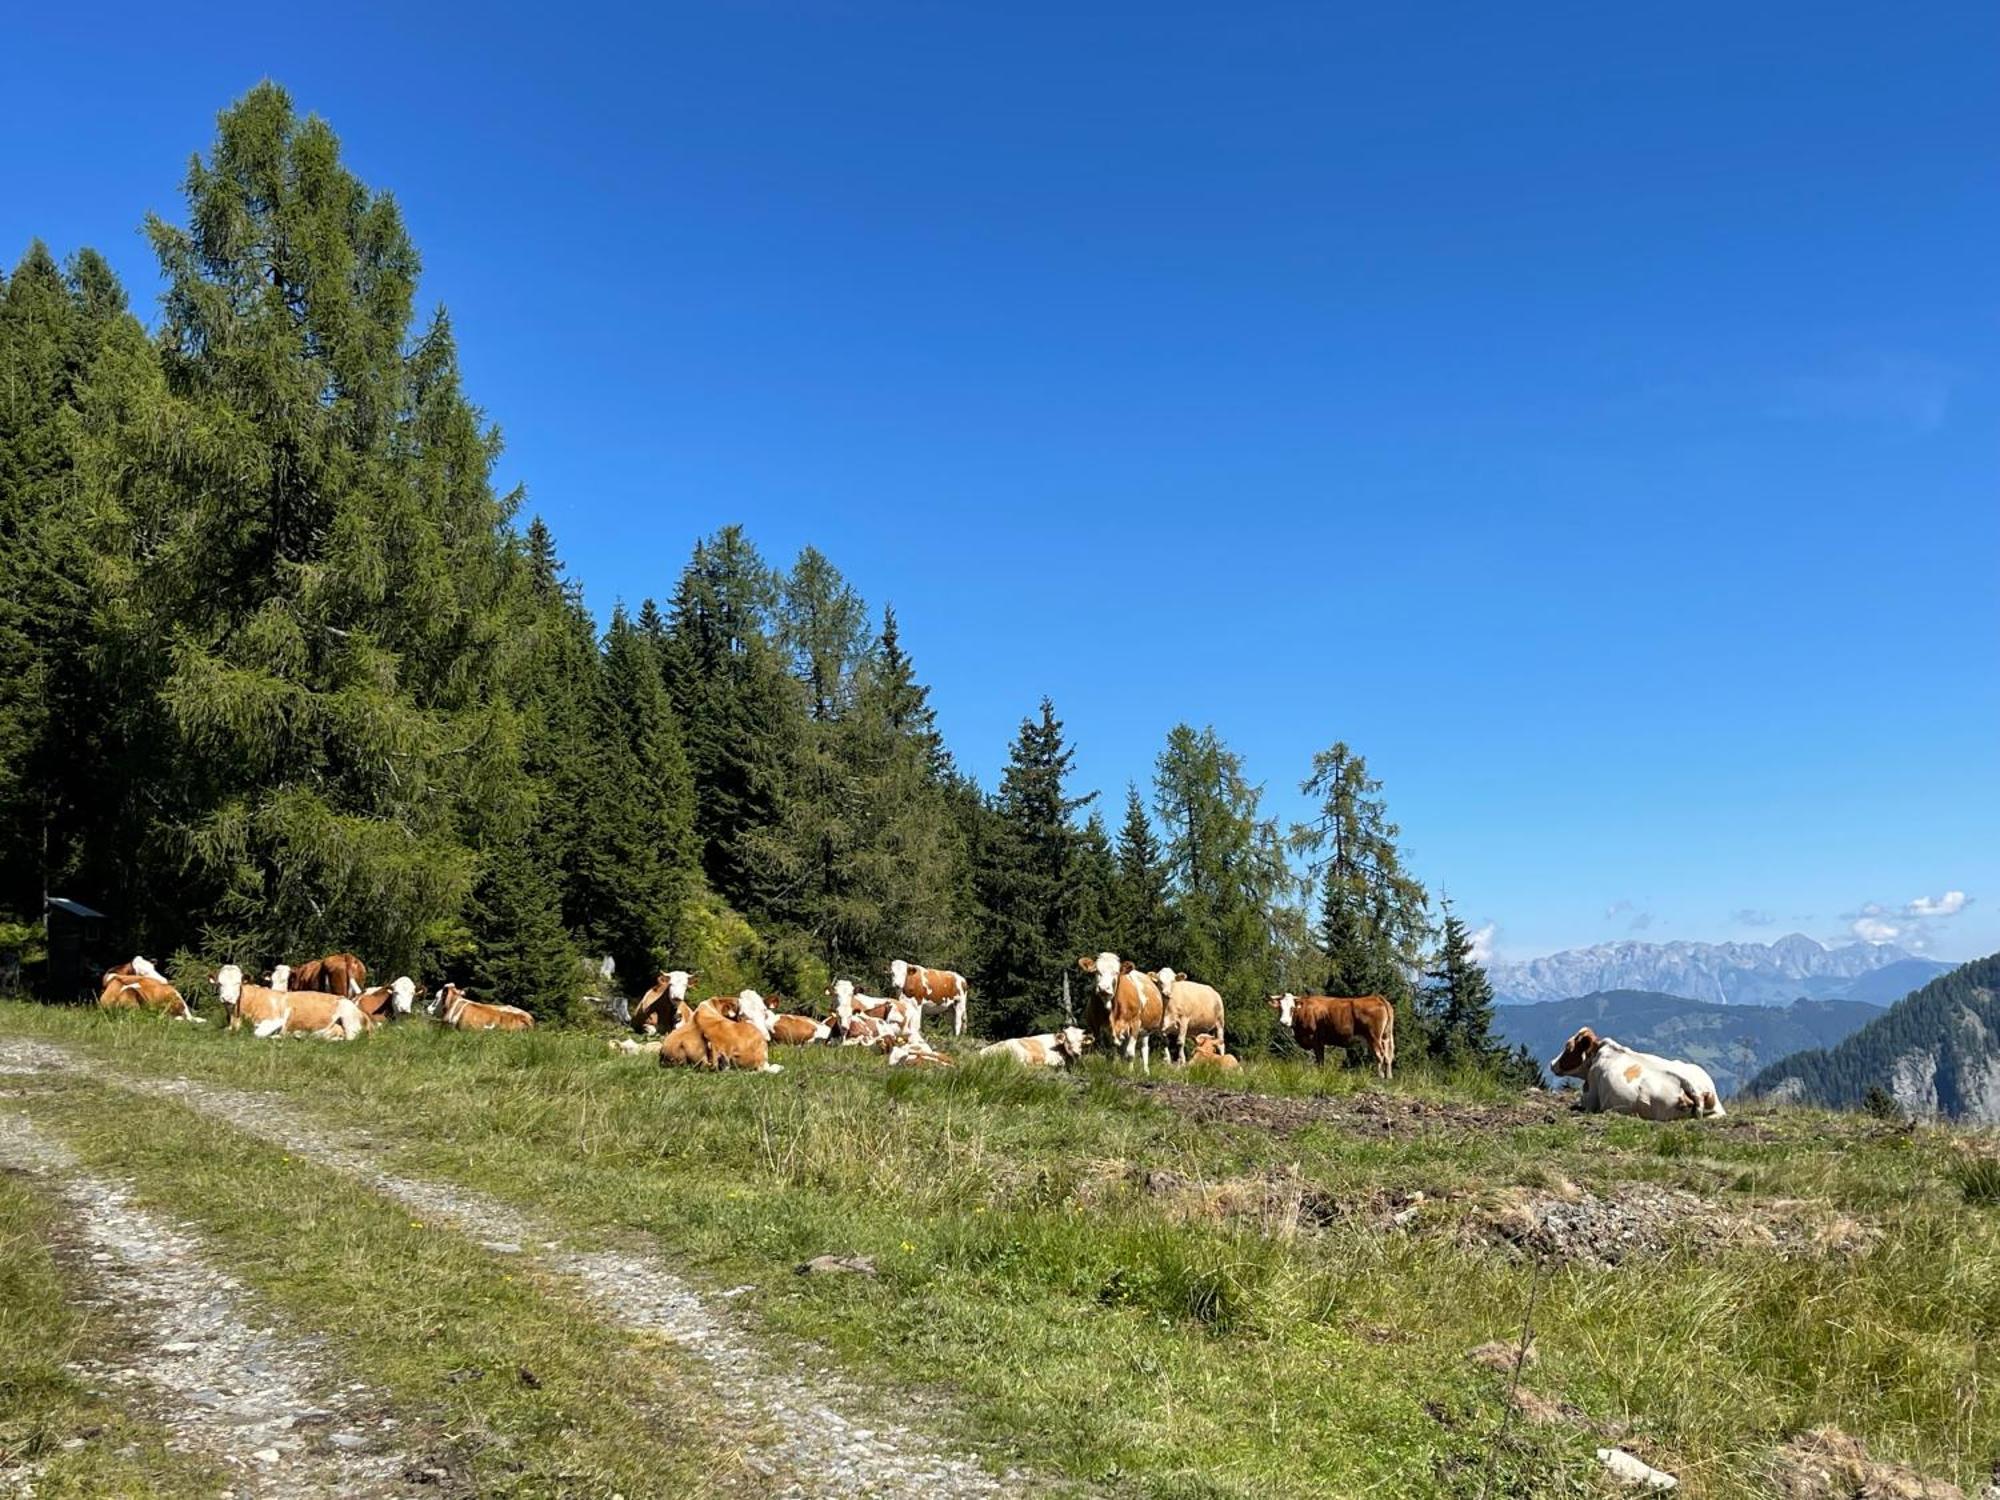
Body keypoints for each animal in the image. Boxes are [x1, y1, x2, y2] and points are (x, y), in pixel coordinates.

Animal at [1272, 988, 1400, 1080]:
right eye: (1280, 1008)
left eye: (1292, 1008)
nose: (1283, 1022)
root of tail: (1377, 997)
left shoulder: (1316, 1040)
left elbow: (1320, 1060)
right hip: (1386, 1037)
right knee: (1388, 1056)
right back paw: (1389, 1077)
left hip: (1374, 1037)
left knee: (1380, 1055)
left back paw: (1380, 1076)